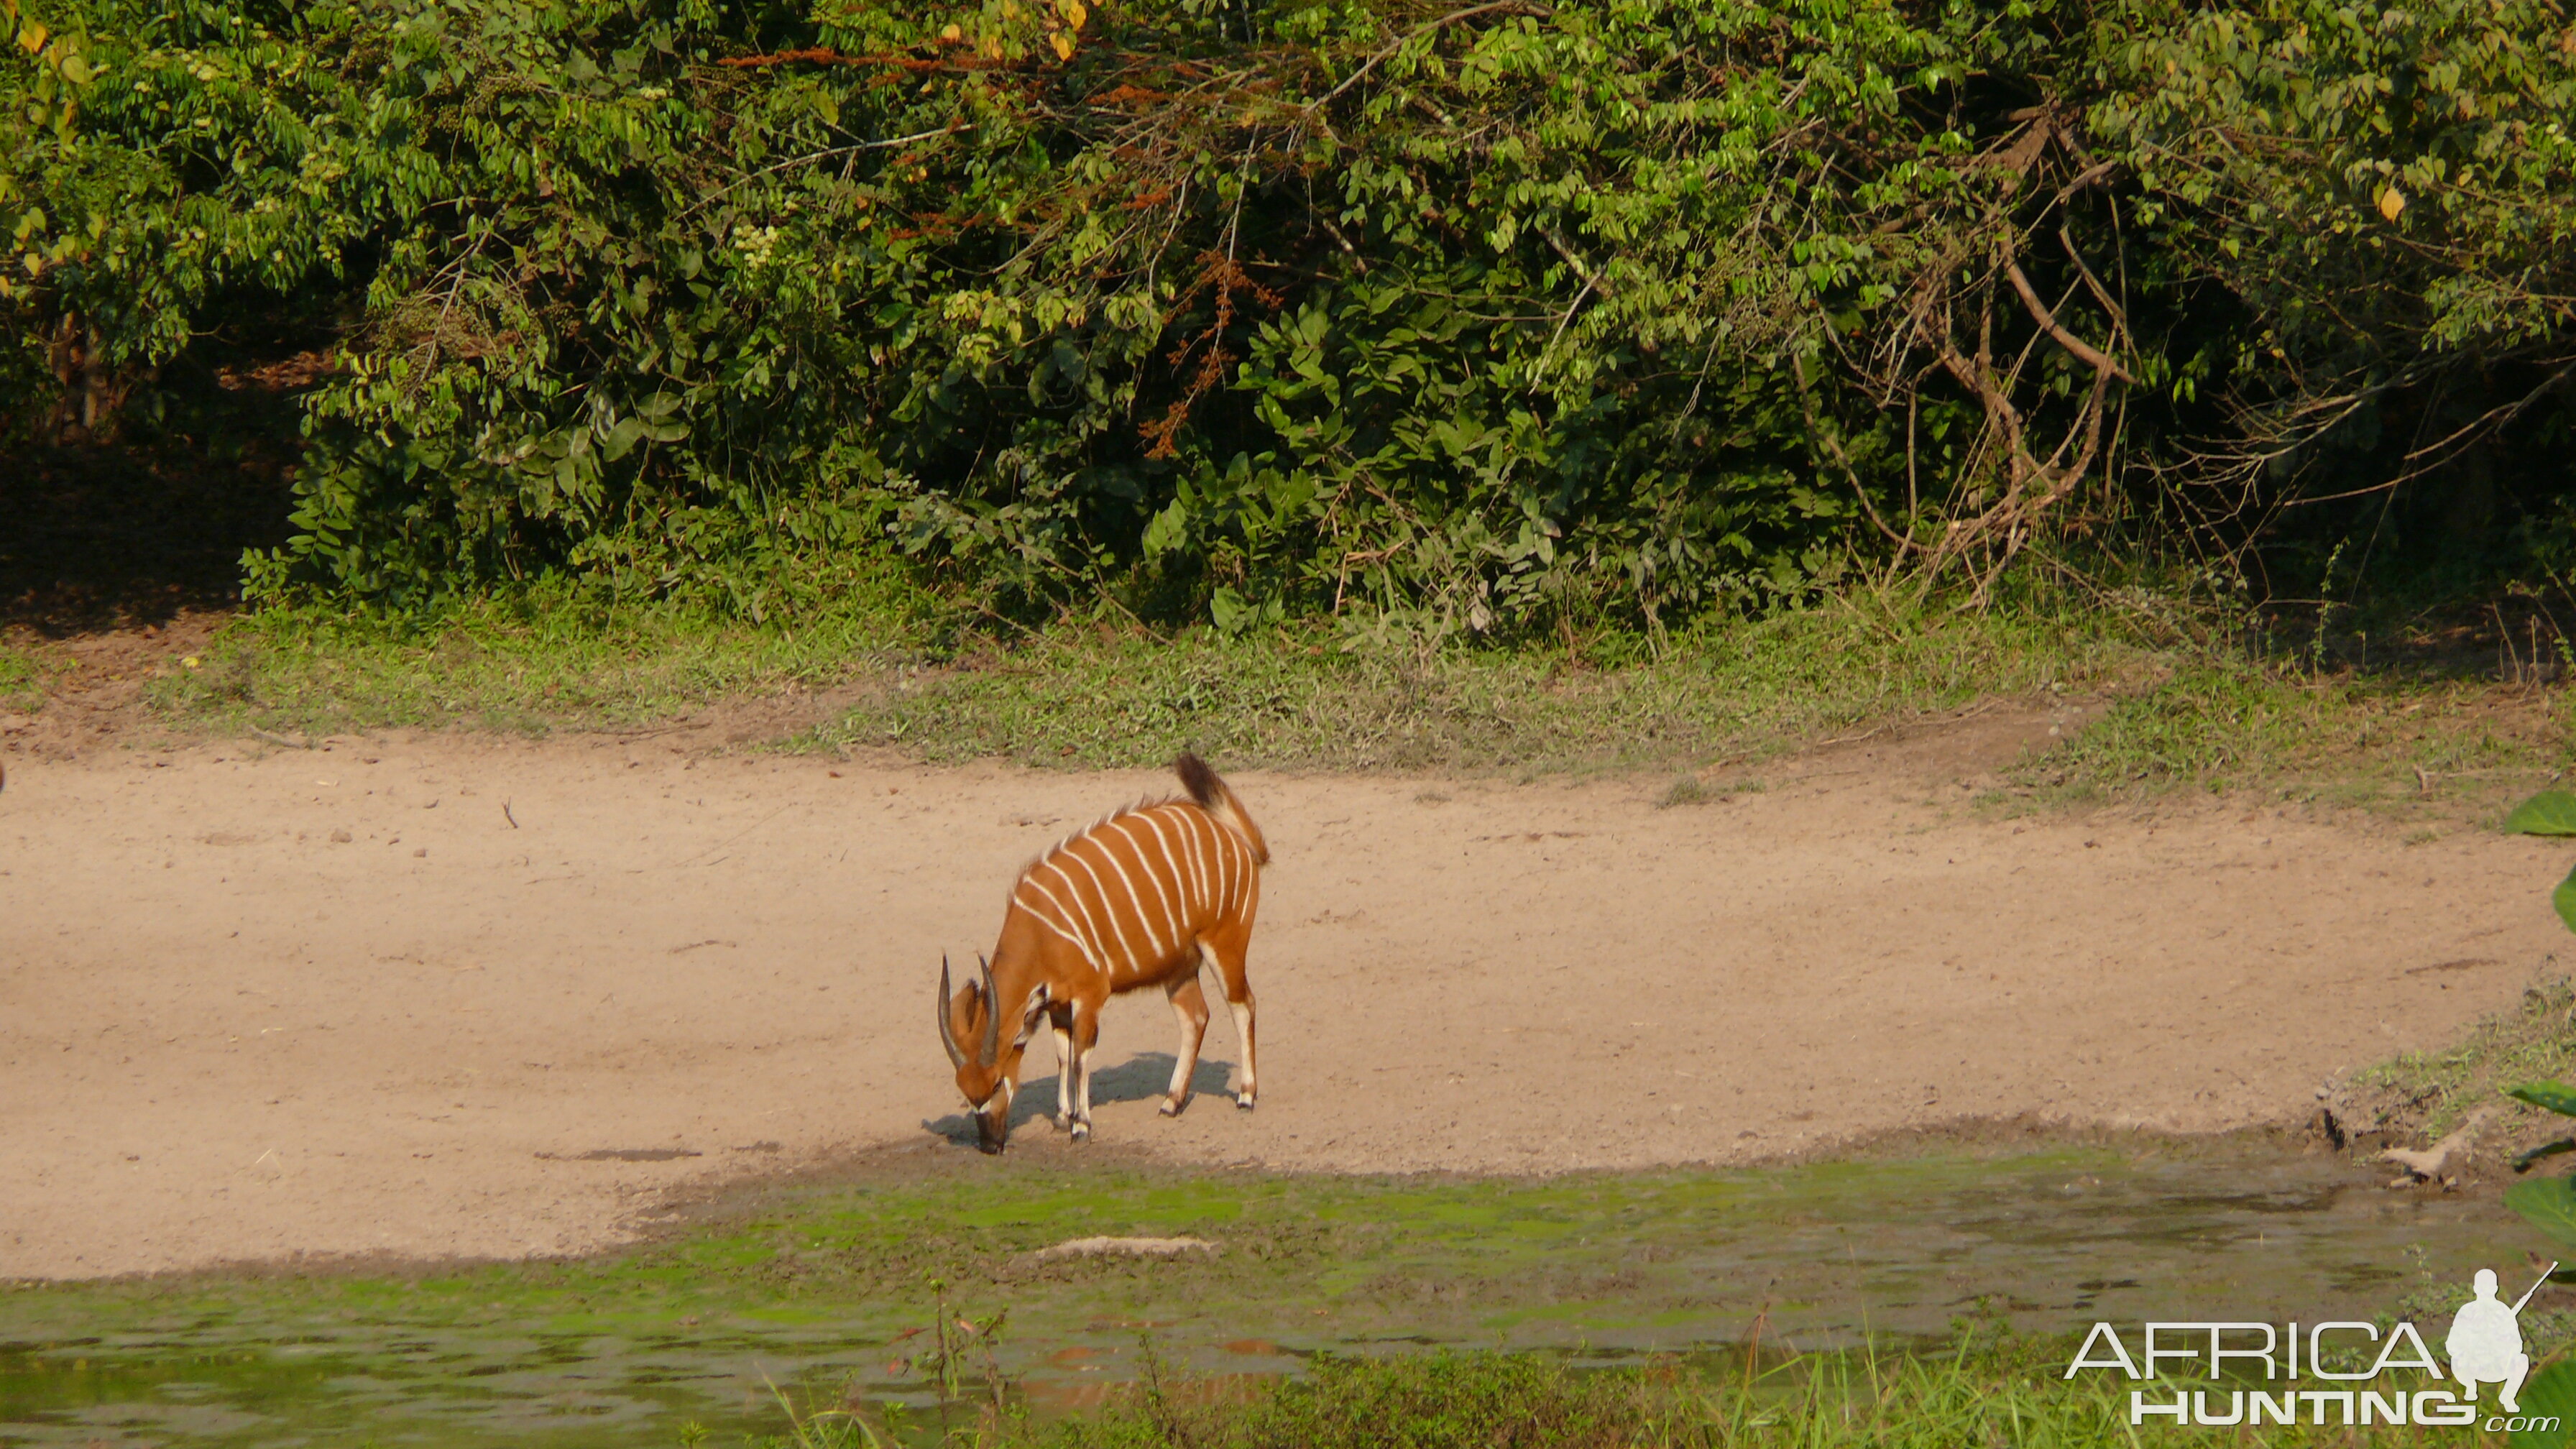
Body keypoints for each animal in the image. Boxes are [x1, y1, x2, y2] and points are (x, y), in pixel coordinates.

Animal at [942, 748, 1272, 1144]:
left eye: (994, 1085)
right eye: (965, 1091)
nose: (990, 1143)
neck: (1039, 929)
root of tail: (1237, 839)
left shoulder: (1090, 995)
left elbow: (1081, 1055)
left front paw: (1081, 1124)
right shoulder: (1057, 1002)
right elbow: (1062, 1052)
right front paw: (1062, 1116)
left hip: (1225, 944)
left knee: (1243, 1005)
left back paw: (1246, 1095)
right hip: (1178, 967)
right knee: (1196, 1017)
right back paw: (1171, 1102)